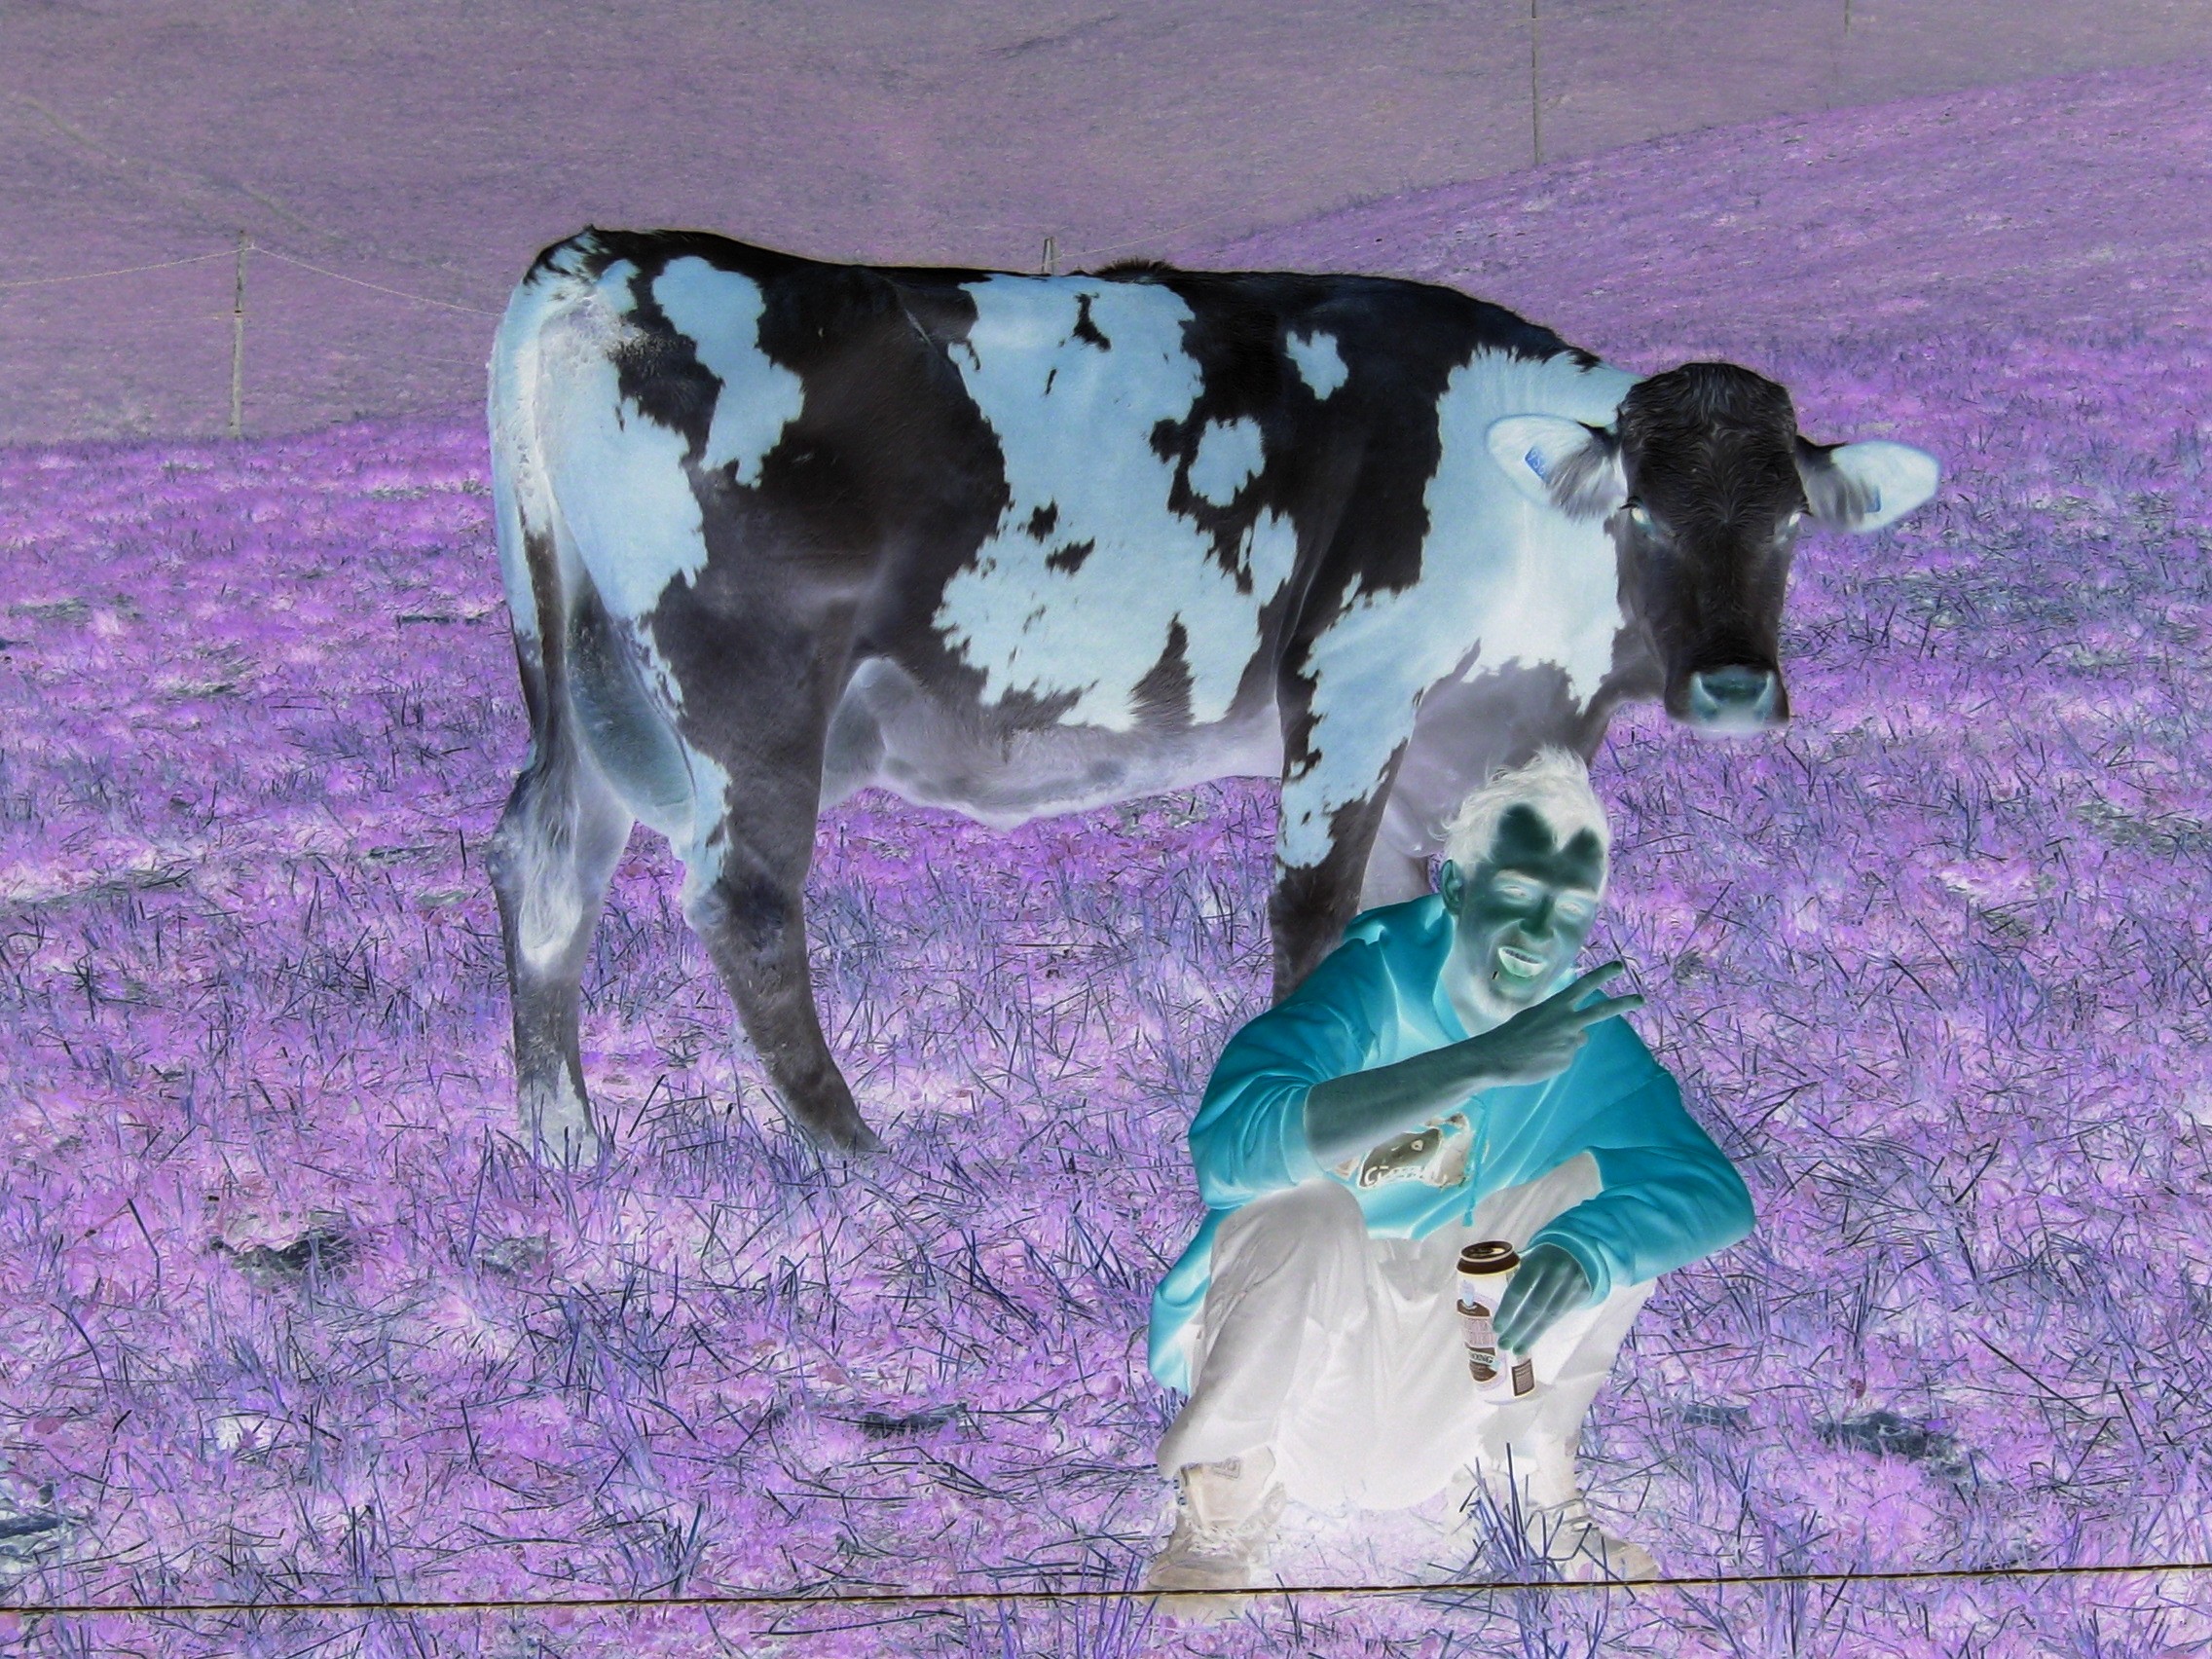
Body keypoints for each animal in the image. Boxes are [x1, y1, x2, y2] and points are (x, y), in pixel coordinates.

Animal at [483, 228, 1939, 1161]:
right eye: (1640, 512)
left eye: (1791, 523)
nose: (1736, 685)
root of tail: (610, 254)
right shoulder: (1352, 683)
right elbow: (1315, 915)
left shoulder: (1449, 733)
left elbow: (1407, 910)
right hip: (750, 700)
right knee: (744, 906)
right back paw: (848, 1143)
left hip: (587, 690)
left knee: (545, 862)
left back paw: (563, 1134)